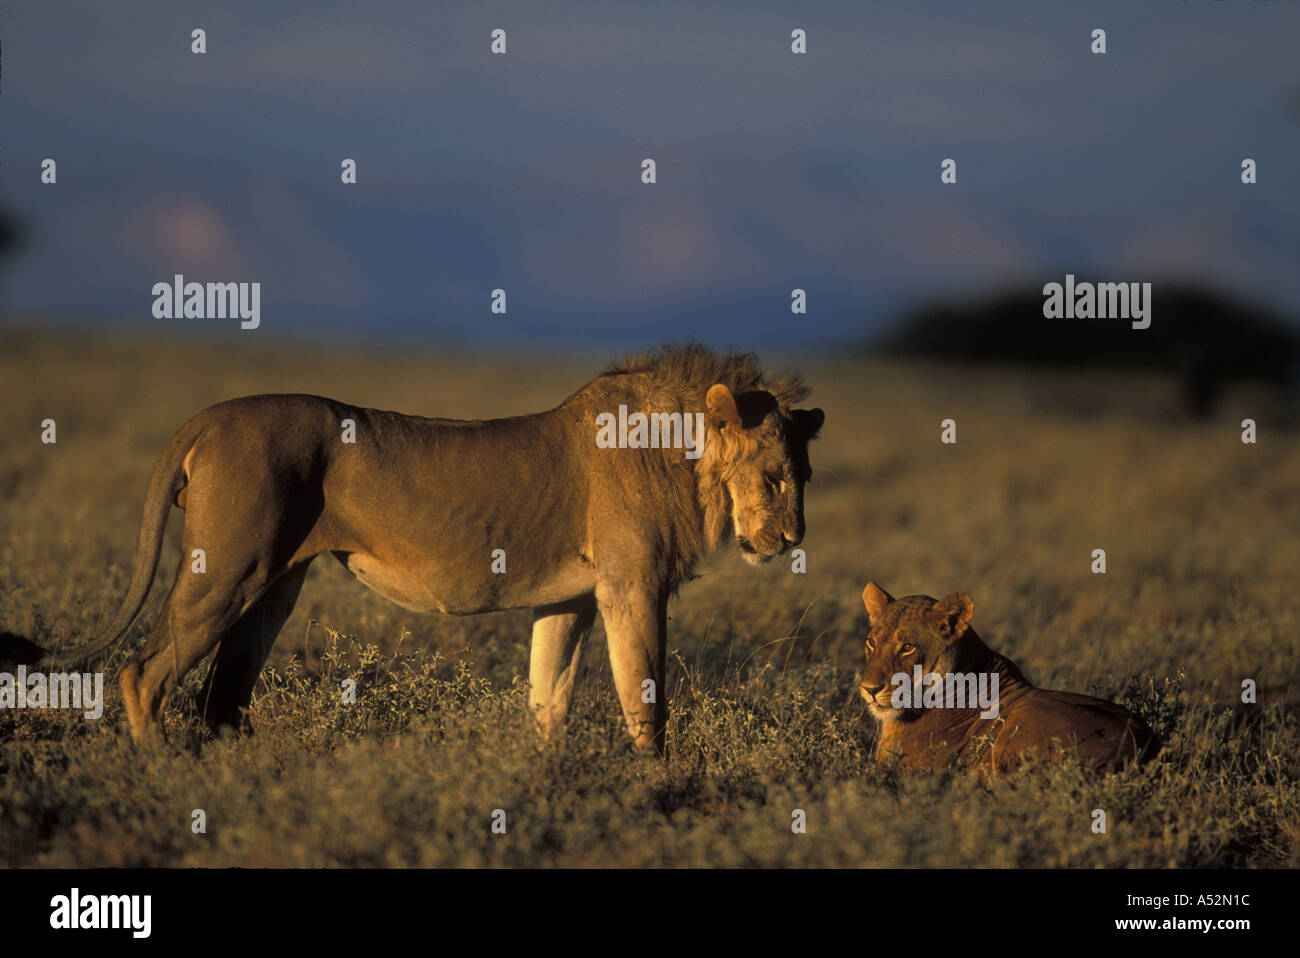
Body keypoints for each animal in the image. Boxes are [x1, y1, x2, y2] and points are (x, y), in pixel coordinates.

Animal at [13, 345, 823, 752]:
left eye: (805, 477)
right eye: (775, 478)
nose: (792, 539)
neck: (682, 456)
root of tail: (208, 416)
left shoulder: (571, 599)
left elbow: (549, 697)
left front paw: (541, 781)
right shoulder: (633, 585)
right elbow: (645, 698)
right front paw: (658, 790)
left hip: (273, 582)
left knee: (221, 693)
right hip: (231, 570)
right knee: (144, 673)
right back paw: (167, 778)